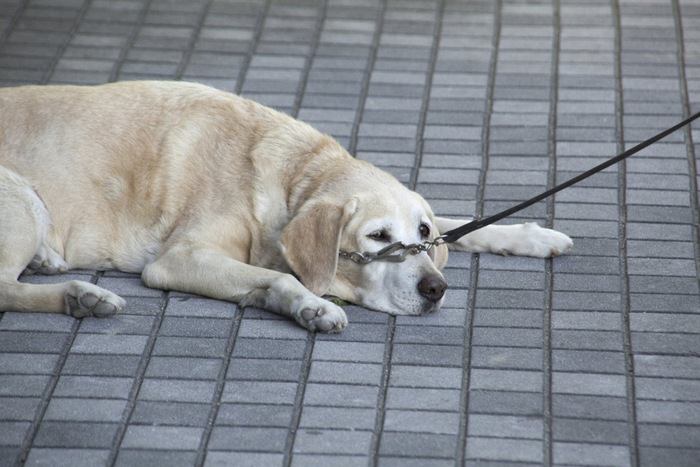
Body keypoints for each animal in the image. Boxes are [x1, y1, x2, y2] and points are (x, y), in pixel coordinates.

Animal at [0, 83, 576, 332]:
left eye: (421, 232)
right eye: (377, 238)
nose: (436, 288)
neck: (293, 173)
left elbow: (466, 224)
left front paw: (530, 234)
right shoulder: (179, 258)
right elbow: (278, 277)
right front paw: (311, 305)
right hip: (22, 201)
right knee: (6, 289)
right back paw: (81, 296)